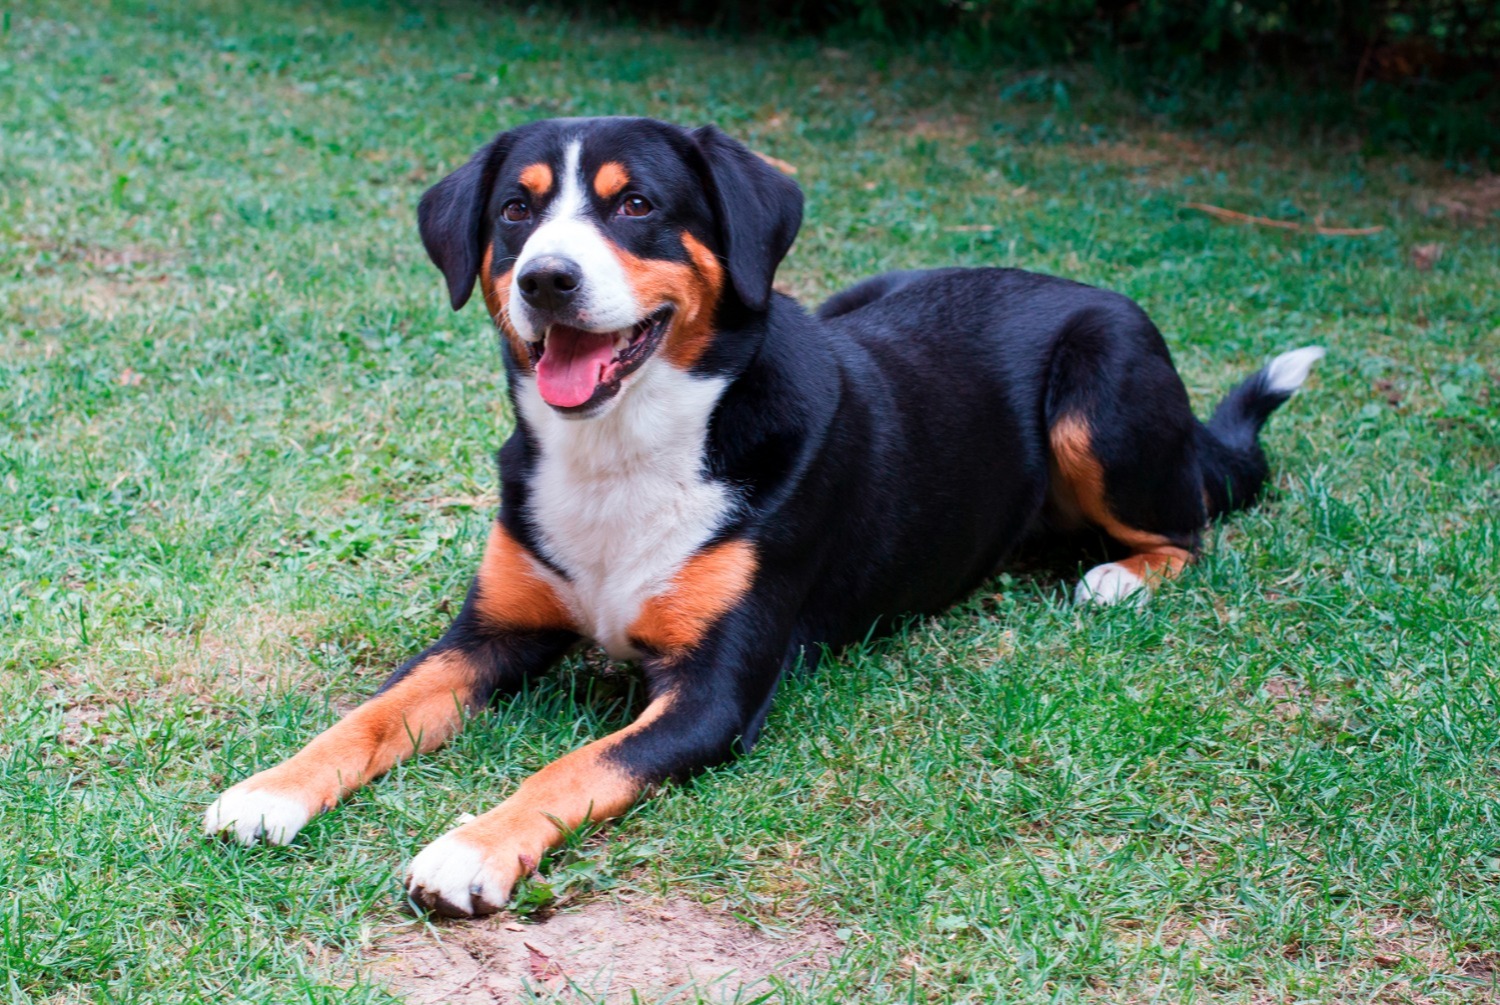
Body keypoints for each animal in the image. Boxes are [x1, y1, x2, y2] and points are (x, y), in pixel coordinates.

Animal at [202, 116, 1326, 924]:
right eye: (517, 213)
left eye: (638, 205)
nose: (546, 279)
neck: (628, 448)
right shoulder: (491, 630)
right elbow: (371, 712)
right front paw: (272, 787)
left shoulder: (714, 692)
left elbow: (572, 767)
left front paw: (468, 848)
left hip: (1103, 397)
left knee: (1195, 522)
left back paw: (1118, 578)